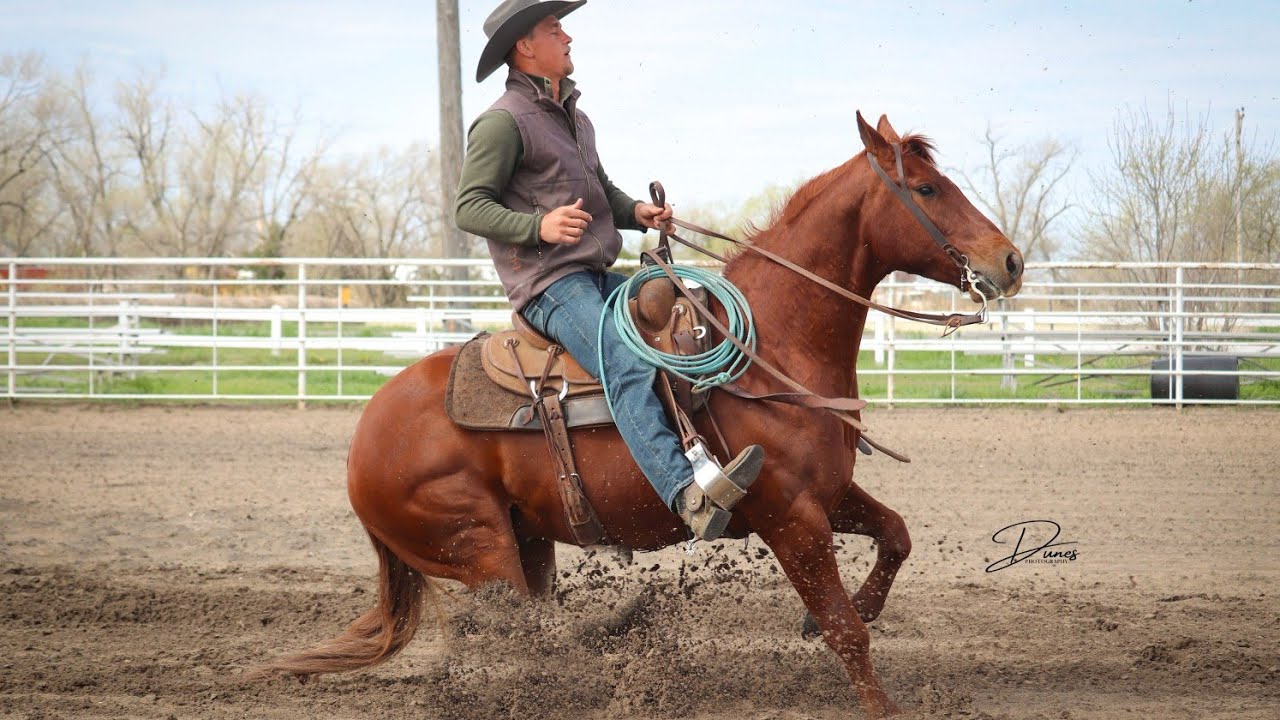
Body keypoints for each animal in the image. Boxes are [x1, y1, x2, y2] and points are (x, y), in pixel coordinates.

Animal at [258, 112, 1024, 718]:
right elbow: (845, 632)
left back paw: (614, 632)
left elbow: (895, 538)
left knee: (538, 627)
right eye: (926, 189)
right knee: (526, 634)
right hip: (479, 546)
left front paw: (831, 615)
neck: (770, 345)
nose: (1011, 260)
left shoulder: (828, 494)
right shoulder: (790, 517)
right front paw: (869, 682)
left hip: (525, 541)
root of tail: (363, 439)